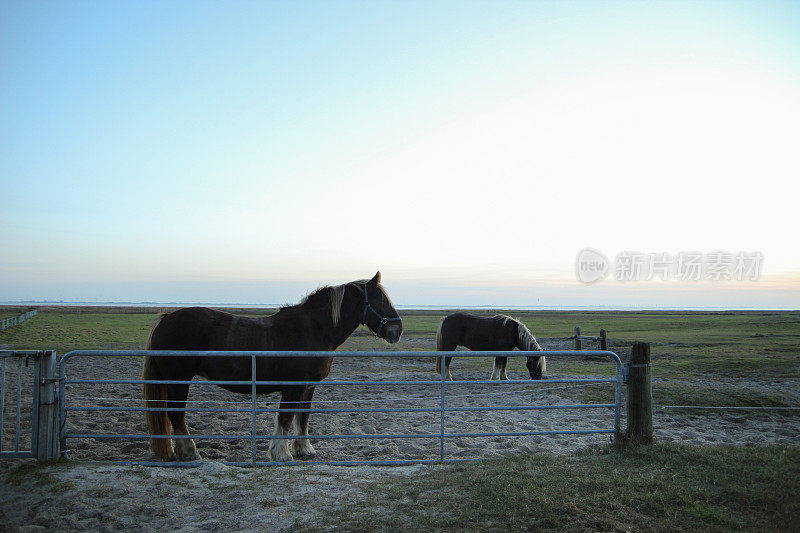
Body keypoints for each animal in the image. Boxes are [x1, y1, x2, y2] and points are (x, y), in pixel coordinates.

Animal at [142, 272, 400, 460]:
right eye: (381, 299)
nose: (397, 330)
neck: (314, 329)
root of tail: (166, 318)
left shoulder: (308, 387)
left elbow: (302, 418)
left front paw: (303, 449)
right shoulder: (293, 385)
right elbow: (285, 417)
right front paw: (281, 453)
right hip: (179, 379)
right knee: (176, 414)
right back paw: (190, 452)